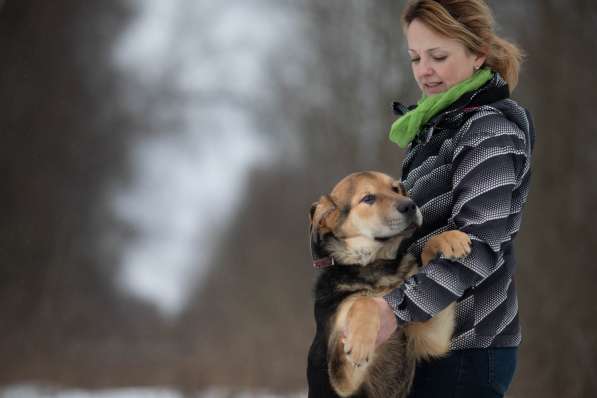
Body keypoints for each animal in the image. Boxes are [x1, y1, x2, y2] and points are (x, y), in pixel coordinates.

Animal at [308, 171, 470, 398]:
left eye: (395, 189)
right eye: (368, 198)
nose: (411, 205)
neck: (376, 267)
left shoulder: (431, 336)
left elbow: (427, 251)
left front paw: (450, 239)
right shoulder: (341, 380)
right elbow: (363, 301)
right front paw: (360, 343)